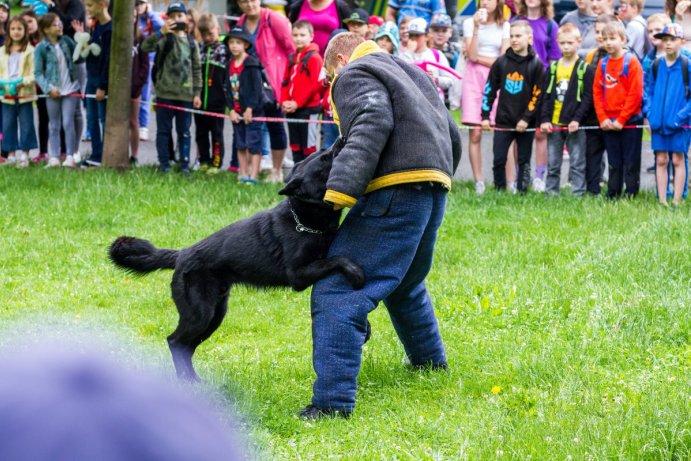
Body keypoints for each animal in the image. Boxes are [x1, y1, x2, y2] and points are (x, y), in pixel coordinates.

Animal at [111, 146, 364, 380]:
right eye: (325, 158)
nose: (341, 138)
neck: (302, 219)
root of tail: (182, 254)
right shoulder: (298, 275)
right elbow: (337, 259)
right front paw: (355, 272)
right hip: (200, 315)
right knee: (174, 341)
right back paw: (187, 381)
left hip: (215, 316)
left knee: (186, 346)